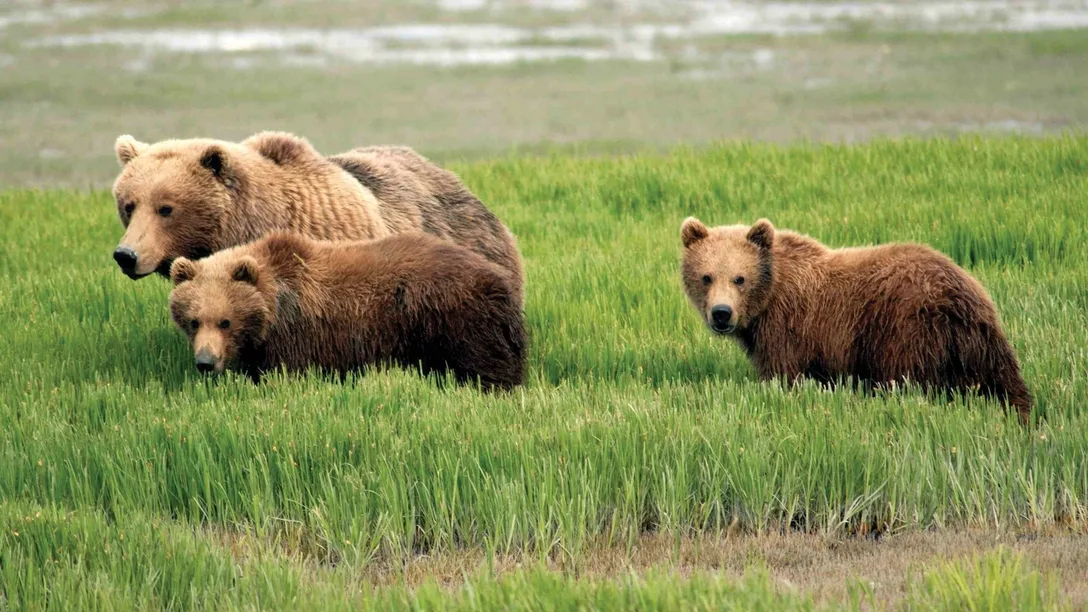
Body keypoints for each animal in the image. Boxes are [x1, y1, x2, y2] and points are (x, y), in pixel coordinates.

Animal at [167, 230, 527, 390]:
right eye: (194, 321)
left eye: (225, 321)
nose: (205, 362)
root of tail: (500, 280)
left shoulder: (296, 336)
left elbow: (285, 374)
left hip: (459, 321)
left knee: (486, 366)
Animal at [679, 217, 1033, 421]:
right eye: (706, 277)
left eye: (739, 278)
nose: (721, 313)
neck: (768, 296)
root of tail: (958, 291)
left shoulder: (788, 328)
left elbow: (784, 376)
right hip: (980, 342)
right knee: (1005, 384)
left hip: (904, 329)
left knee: (906, 380)